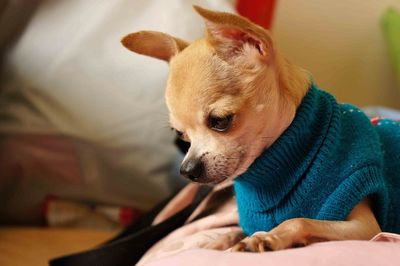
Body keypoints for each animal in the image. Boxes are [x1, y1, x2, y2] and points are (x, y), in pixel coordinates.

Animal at [120, 5, 382, 251]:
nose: (187, 170)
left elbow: (298, 220)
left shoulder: (364, 226)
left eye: (220, 121)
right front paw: (218, 243)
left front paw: (267, 237)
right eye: (181, 135)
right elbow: (235, 230)